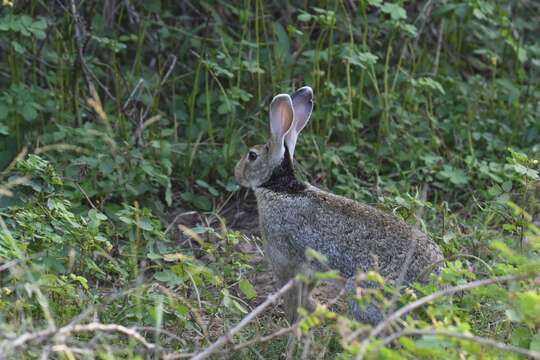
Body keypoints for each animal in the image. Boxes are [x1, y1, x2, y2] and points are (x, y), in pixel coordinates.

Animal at [234, 86, 446, 324]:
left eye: (252, 156)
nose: (236, 173)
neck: (280, 188)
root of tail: (431, 285)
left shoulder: (284, 263)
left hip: (364, 292)